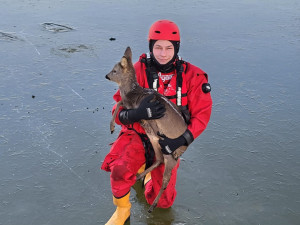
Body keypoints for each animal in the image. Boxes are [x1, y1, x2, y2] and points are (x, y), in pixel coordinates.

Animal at [105, 46, 188, 213]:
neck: (132, 91)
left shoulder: (130, 103)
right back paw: (138, 177)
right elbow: (120, 105)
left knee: (165, 180)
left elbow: (119, 103)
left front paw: (111, 127)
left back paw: (153, 205)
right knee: (158, 160)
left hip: (171, 153)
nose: (106, 76)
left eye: (115, 70)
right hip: (155, 142)